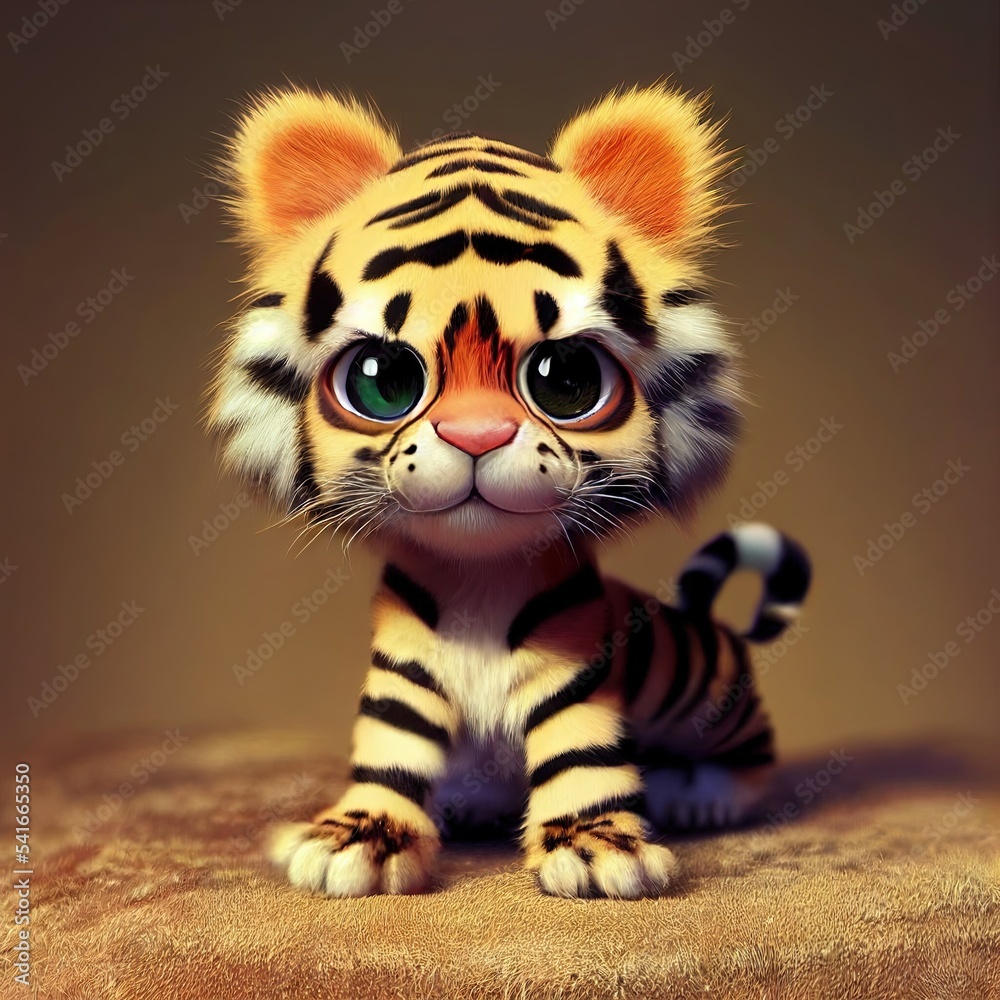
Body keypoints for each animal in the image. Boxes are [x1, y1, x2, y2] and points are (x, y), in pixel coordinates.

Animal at [207, 83, 812, 899]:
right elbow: (390, 752)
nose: (477, 435)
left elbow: (582, 756)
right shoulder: (402, 673)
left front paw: (596, 850)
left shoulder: (574, 673)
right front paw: (357, 837)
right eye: (382, 380)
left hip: (714, 698)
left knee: (751, 751)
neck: (478, 578)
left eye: (568, 380)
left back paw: (703, 797)